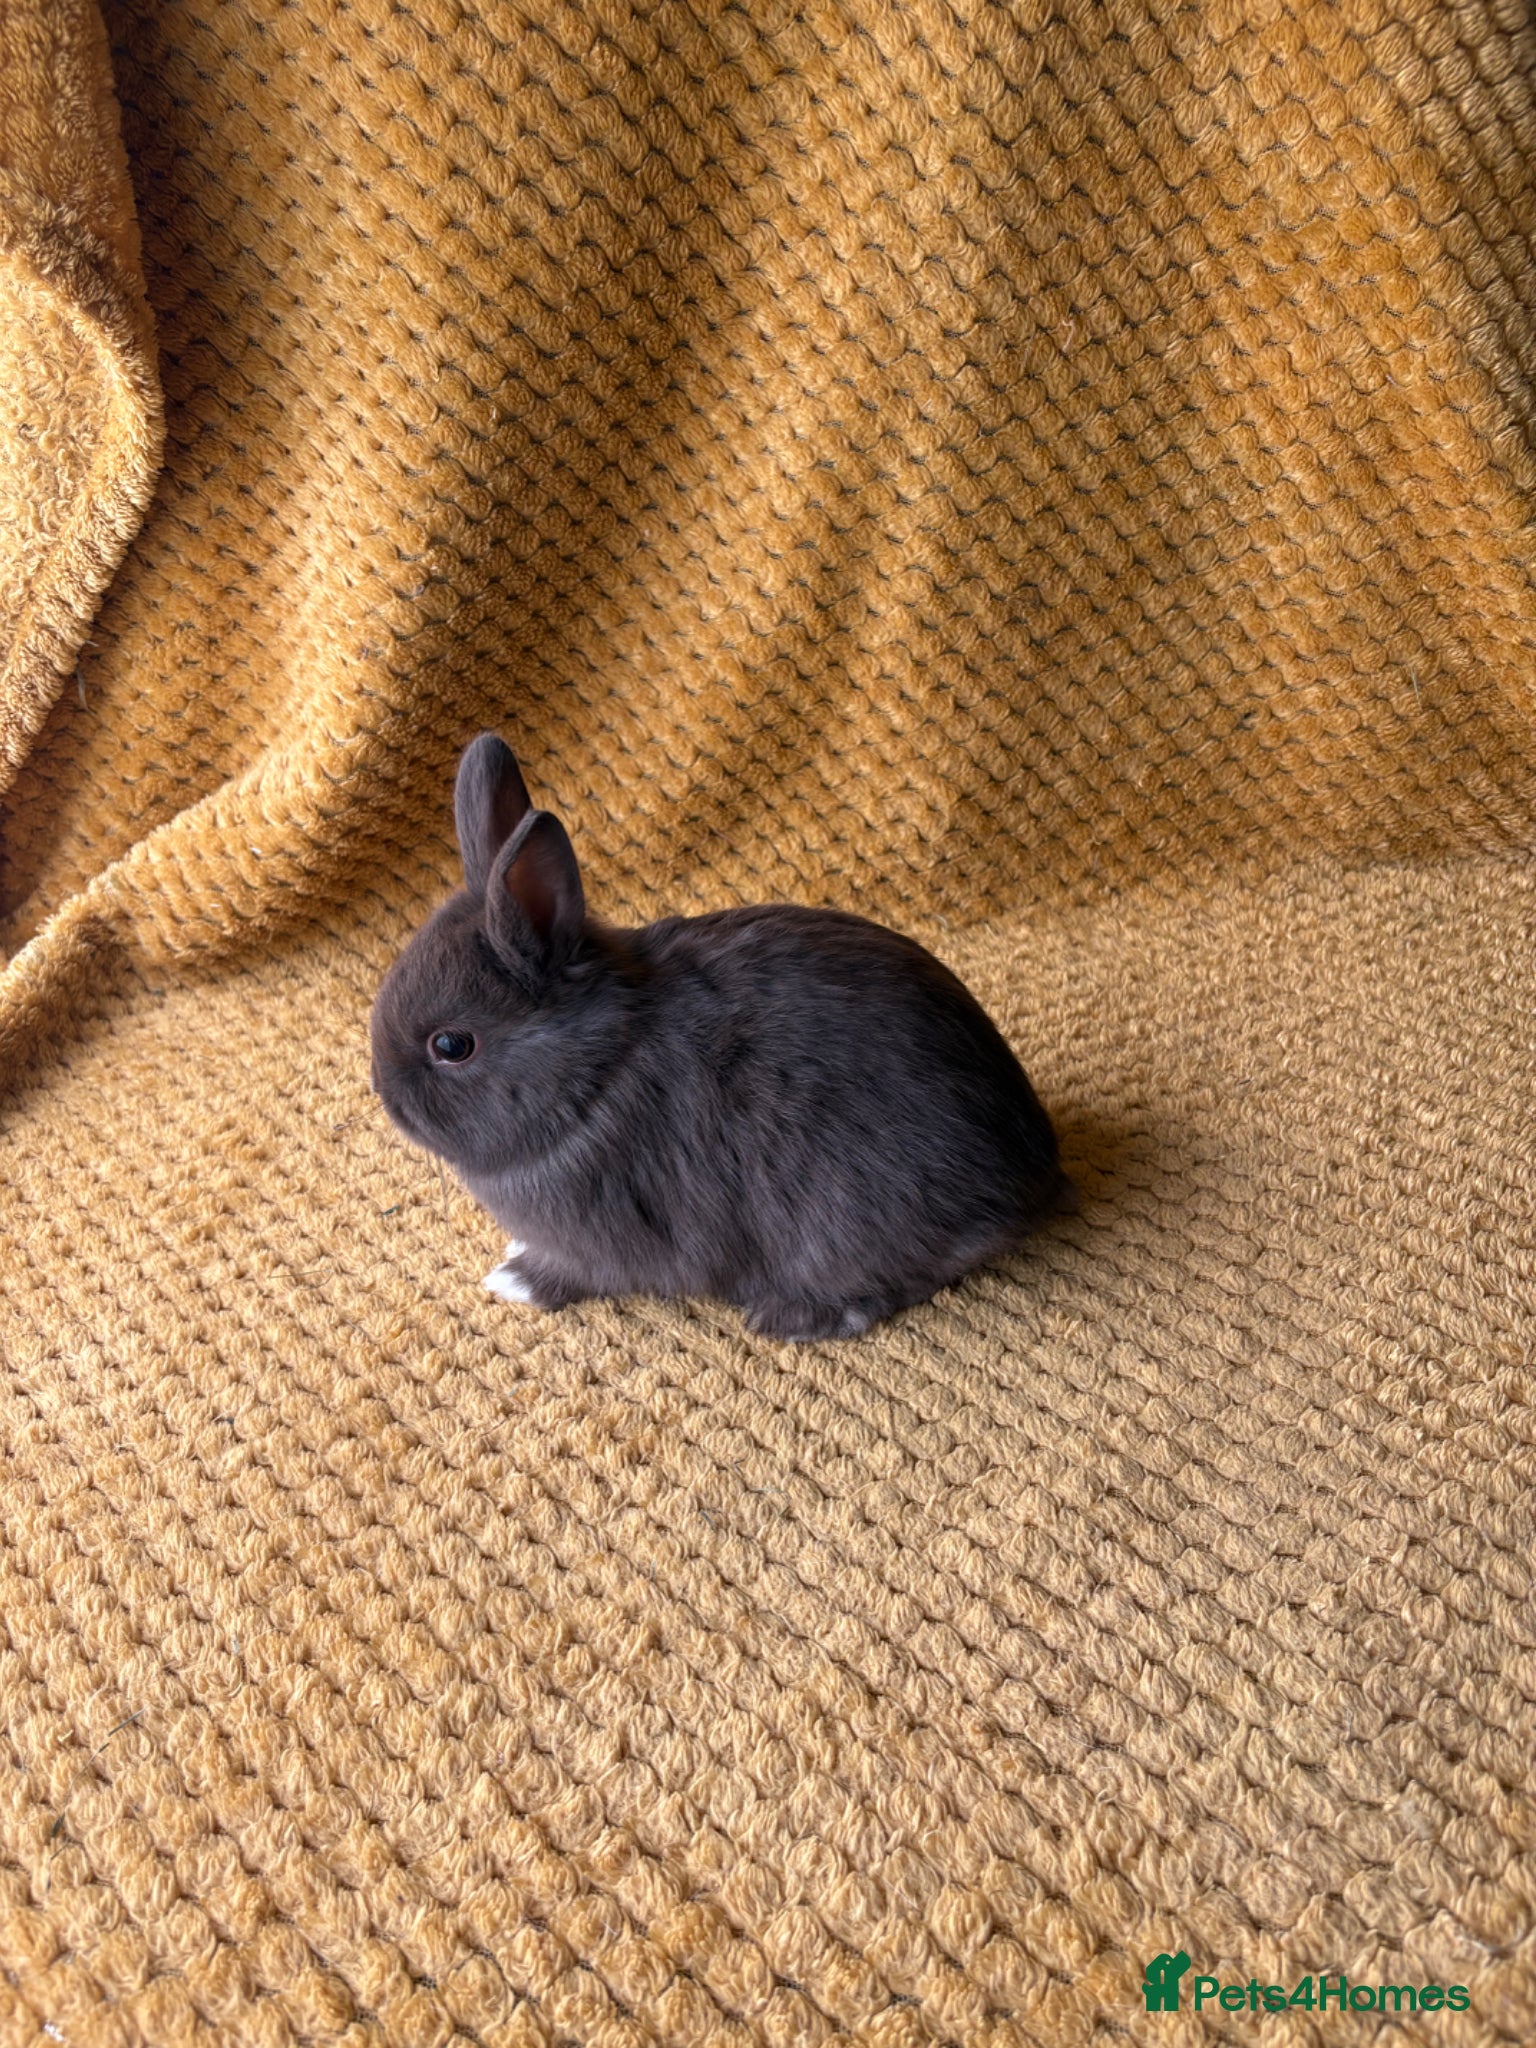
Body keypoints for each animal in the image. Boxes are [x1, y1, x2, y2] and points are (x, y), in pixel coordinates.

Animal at [369, 733, 1072, 1341]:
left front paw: (513, 1280)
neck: (596, 1074)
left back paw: (797, 1318)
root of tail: (1033, 1172)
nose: (386, 1100)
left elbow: (572, 1274)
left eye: (452, 1046)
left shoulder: (602, 1241)